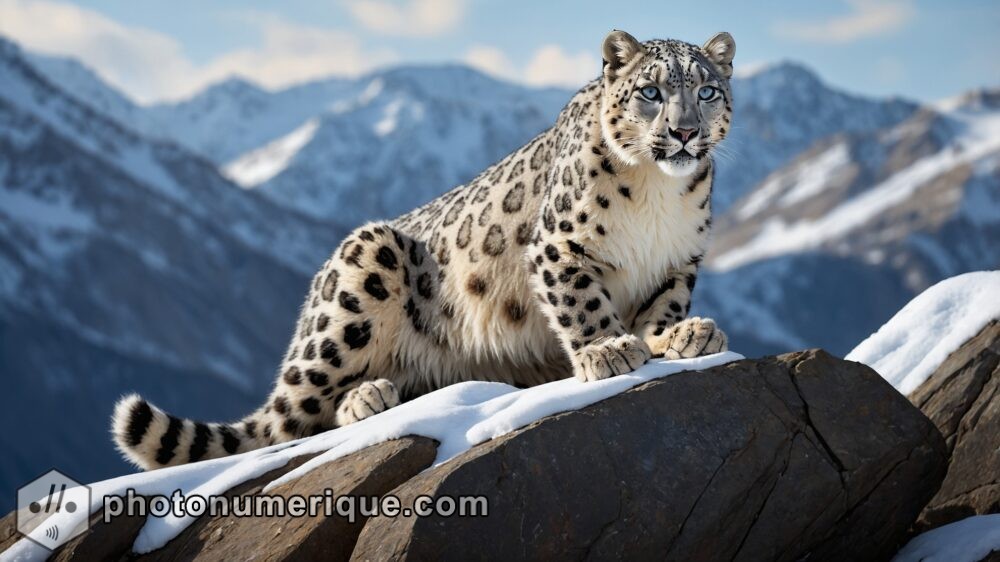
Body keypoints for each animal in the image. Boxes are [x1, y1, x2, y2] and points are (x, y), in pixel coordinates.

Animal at [113, 30, 736, 468]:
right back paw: (367, 397)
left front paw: (681, 335)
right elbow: (581, 300)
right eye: (651, 92)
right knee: (290, 419)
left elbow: (663, 305)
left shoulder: (679, 260)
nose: (684, 132)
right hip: (358, 284)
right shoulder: (559, 246)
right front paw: (609, 349)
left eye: (706, 90)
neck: (657, 196)